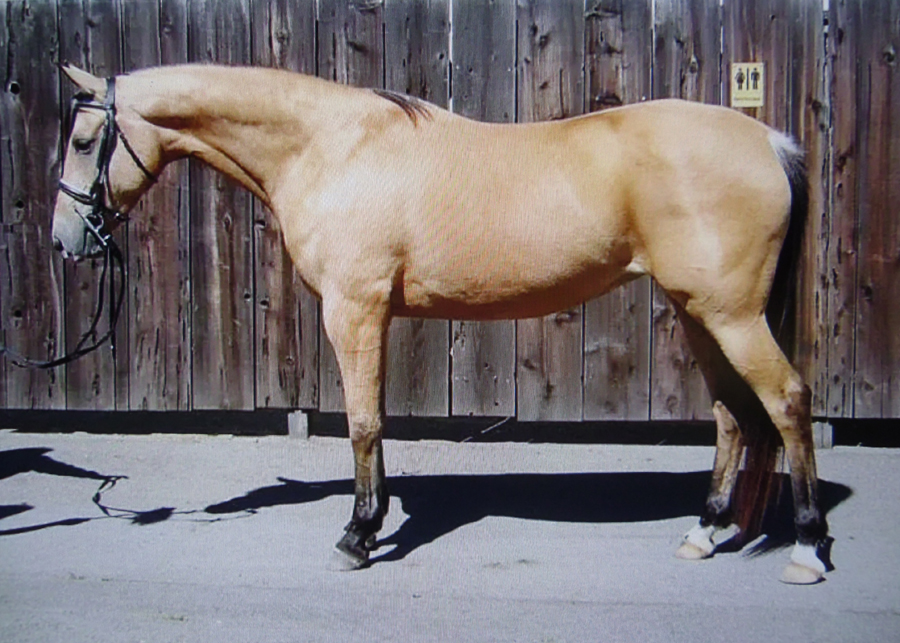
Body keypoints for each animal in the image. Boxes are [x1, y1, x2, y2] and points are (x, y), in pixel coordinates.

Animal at [51, 65, 828, 584]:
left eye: (87, 139)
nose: (66, 239)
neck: (333, 148)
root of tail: (770, 140)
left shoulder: (353, 308)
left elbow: (362, 422)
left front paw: (356, 536)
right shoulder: (372, 314)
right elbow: (376, 419)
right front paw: (373, 521)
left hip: (731, 316)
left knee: (787, 403)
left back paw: (807, 548)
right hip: (701, 313)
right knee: (732, 415)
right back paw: (706, 530)